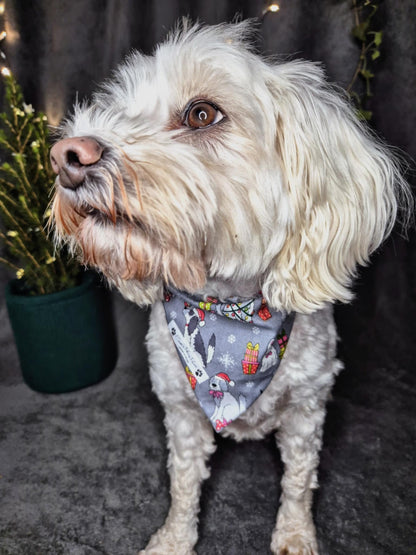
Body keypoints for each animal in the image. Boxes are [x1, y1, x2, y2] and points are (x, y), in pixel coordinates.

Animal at [48, 19, 410, 552]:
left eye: (202, 114)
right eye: (119, 108)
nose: (67, 155)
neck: (230, 311)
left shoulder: (307, 411)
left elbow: (299, 479)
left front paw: (295, 533)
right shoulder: (181, 412)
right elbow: (182, 483)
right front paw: (174, 538)